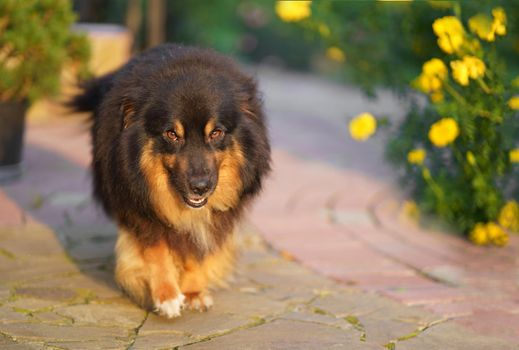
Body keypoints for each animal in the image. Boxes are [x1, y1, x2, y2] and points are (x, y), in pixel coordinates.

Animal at [71, 43, 272, 318]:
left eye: (216, 133)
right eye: (171, 134)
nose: (200, 187)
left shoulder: (207, 218)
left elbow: (196, 250)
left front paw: (193, 292)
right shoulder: (138, 205)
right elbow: (157, 250)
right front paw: (166, 296)